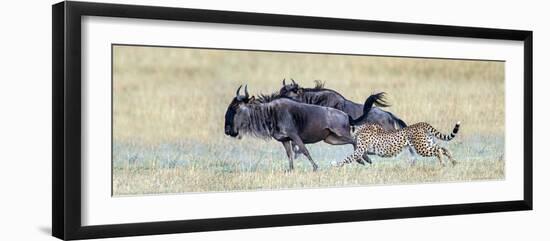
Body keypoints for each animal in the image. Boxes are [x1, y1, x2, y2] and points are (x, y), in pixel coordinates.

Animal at [332, 121, 462, 167]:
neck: (360, 129)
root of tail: (422, 123)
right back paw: (453, 162)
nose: (340, 133)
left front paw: (336, 165)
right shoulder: (363, 150)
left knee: (438, 150)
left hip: (422, 147)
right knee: (443, 148)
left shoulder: (360, 150)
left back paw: (444, 163)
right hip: (427, 143)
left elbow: (348, 158)